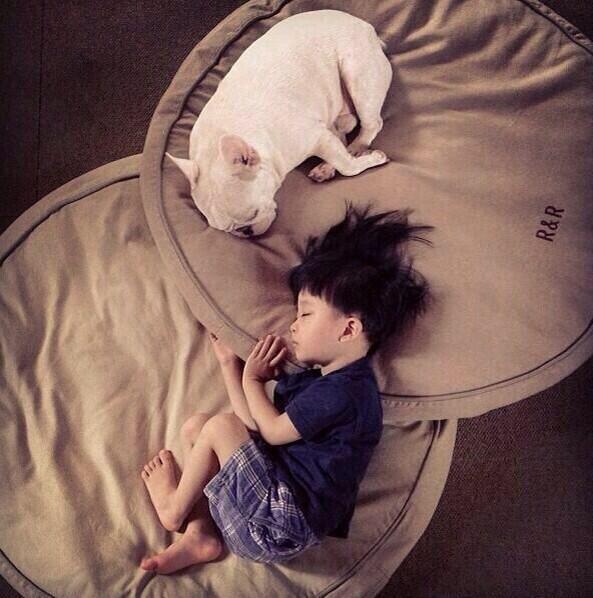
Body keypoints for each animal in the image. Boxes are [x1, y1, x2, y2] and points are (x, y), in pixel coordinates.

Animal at [167, 9, 392, 237]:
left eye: (253, 214)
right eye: (227, 230)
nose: (246, 232)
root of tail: (365, 27)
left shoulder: (317, 138)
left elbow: (347, 167)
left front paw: (372, 158)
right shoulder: (325, 135)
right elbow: (341, 156)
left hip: (357, 74)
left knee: (371, 124)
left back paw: (357, 149)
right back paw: (329, 165)